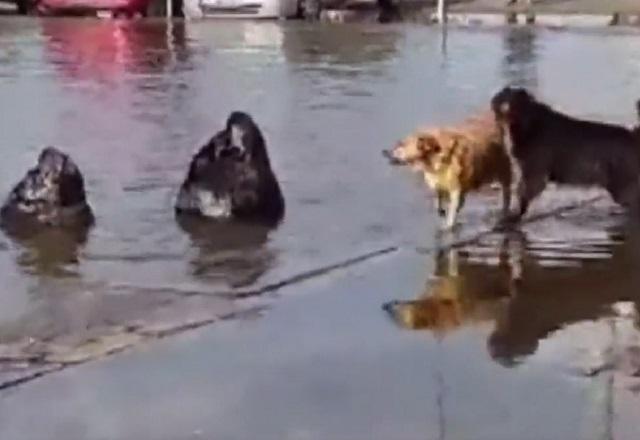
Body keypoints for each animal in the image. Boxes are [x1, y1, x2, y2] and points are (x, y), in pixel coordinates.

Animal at [382, 111, 512, 229]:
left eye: (401, 145)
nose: (384, 152)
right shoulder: (440, 183)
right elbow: (439, 200)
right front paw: (442, 210)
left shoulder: (455, 188)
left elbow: (452, 210)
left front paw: (449, 223)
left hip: (502, 168)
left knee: (506, 192)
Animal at [490, 86, 640, 220]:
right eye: (502, 94)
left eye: (506, 96)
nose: (495, 100)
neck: (529, 123)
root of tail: (633, 135)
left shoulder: (535, 170)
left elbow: (524, 191)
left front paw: (515, 214)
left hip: (622, 183)